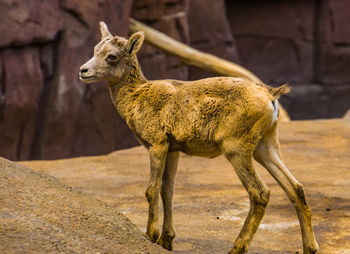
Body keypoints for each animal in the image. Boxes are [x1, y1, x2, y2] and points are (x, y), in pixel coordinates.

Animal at [80, 22, 320, 254]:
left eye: (112, 56)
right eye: (95, 50)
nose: (83, 70)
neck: (136, 96)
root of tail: (271, 96)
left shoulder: (156, 145)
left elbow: (151, 189)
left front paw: (151, 236)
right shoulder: (173, 150)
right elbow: (168, 190)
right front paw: (167, 241)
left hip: (236, 149)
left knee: (260, 193)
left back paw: (236, 248)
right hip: (266, 147)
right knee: (295, 188)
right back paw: (310, 248)